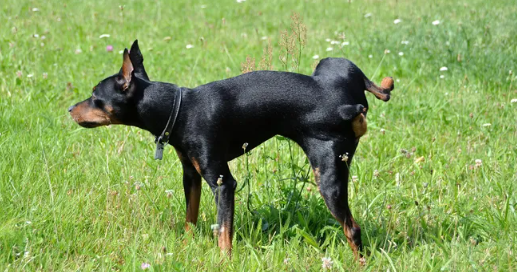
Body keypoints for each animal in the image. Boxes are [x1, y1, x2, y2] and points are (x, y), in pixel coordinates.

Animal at [67, 39, 392, 260]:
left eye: (95, 96)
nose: (70, 109)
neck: (179, 108)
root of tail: (348, 104)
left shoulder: (222, 182)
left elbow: (224, 231)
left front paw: (224, 261)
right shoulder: (192, 175)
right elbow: (190, 216)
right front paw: (185, 247)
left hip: (327, 176)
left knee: (352, 229)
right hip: (333, 63)